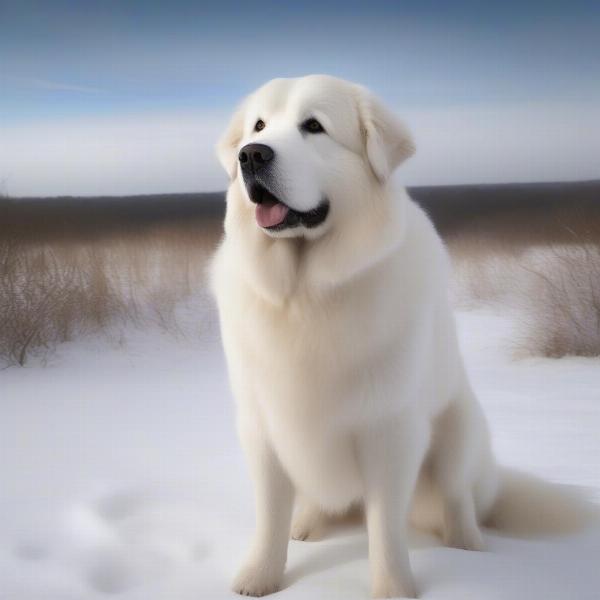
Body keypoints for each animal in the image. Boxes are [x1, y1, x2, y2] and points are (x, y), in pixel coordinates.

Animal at [209, 74, 588, 596]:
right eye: (259, 126)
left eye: (313, 126)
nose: (251, 155)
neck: (306, 294)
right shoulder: (263, 424)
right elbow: (270, 512)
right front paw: (260, 576)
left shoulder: (390, 428)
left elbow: (385, 524)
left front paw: (393, 588)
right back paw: (306, 525)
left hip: (458, 429)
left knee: (458, 498)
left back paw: (468, 545)